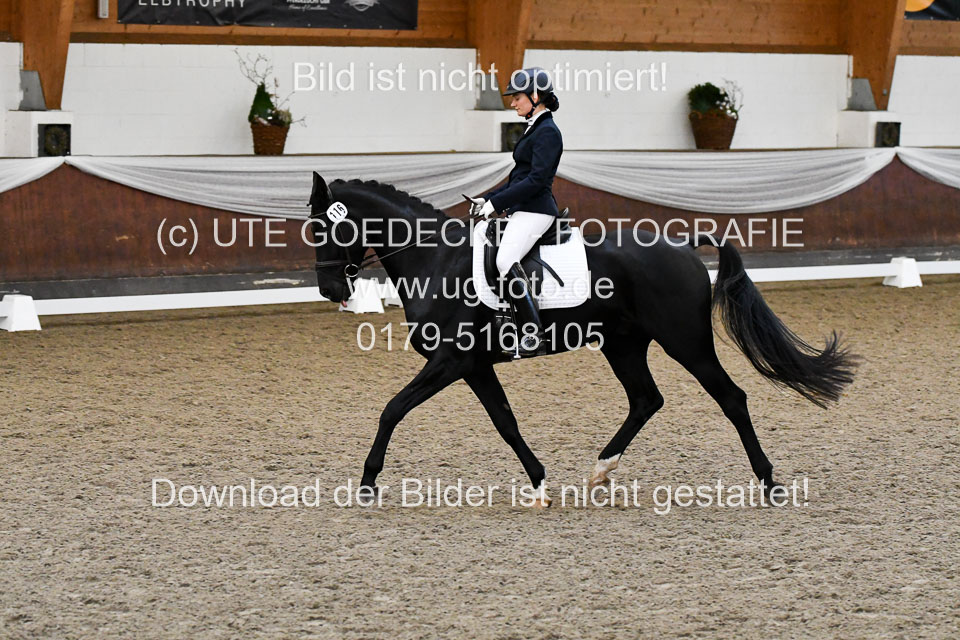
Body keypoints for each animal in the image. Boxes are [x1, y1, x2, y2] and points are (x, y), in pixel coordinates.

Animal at [307, 173, 857, 506]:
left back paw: (769, 482)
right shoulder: (474, 367)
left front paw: (367, 482)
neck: (435, 260)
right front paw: (540, 484)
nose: (331, 289)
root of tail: (682, 245)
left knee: (731, 398)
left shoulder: (451, 362)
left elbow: (392, 409)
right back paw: (600, 470)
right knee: (646, 399)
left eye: (324, 230)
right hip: (624, 345)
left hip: (686, 342)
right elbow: (505, 423)